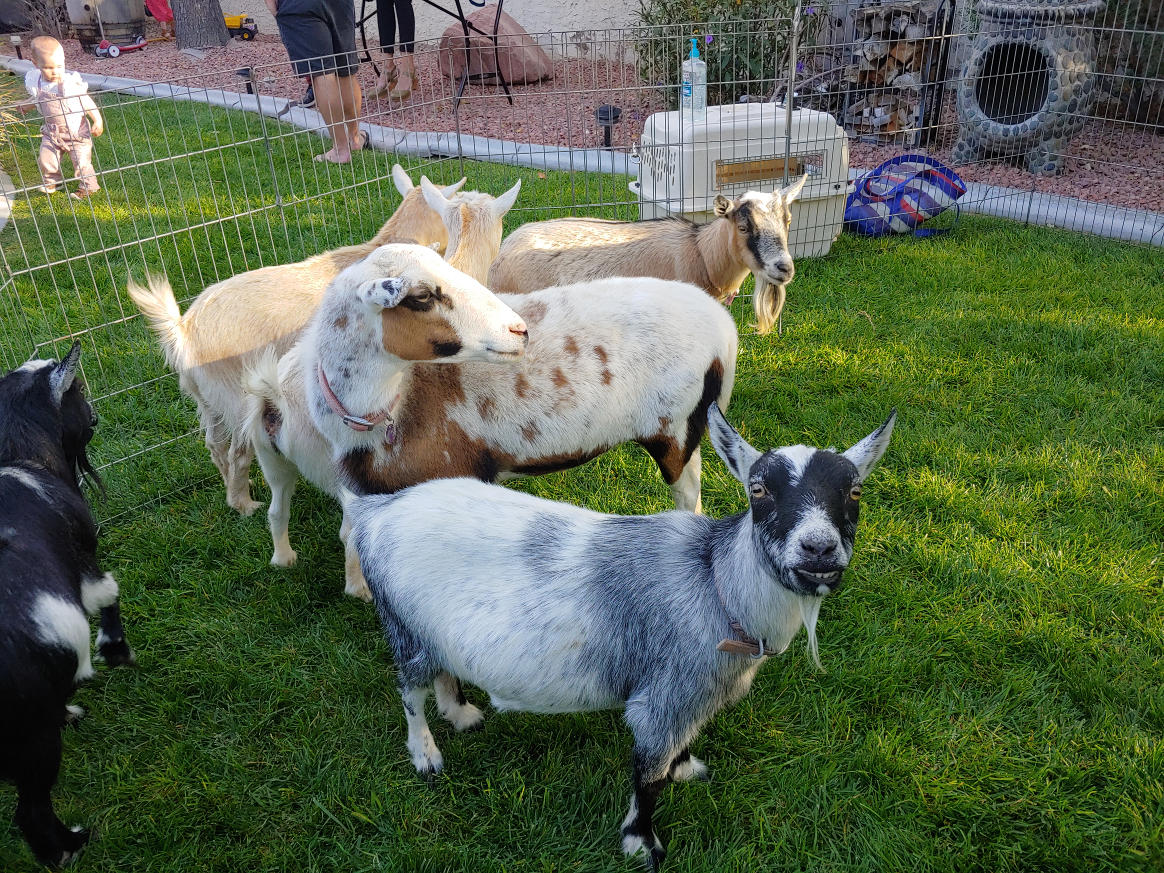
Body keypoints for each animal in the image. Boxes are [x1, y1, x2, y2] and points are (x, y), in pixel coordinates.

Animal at [0, 344, 133, 870]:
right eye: (77, 394)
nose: (94, 414)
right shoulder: (83, 565)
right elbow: (110, 592)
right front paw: (115, 650)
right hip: (34, 747)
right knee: (31, 812)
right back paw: (70, 847)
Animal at [242, 244, 735, 600]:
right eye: (421, 297)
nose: (520, 331)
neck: (392, 404)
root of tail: (723, 326)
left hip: (676, 429)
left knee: (687, 493)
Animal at [349, 402, 893, 873]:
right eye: (757, 489)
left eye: (855, 491)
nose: (818, 550)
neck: (716, 584)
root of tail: (375, 511)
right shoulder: (664, 696)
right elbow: (648, 776)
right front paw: (640, 842)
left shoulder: (689, 698)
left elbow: (675, 752)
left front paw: (685, 767)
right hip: (402, 624)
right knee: (410, 689)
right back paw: (425, 755)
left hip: (431, 628)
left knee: (441, 672)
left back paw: (461, 714)